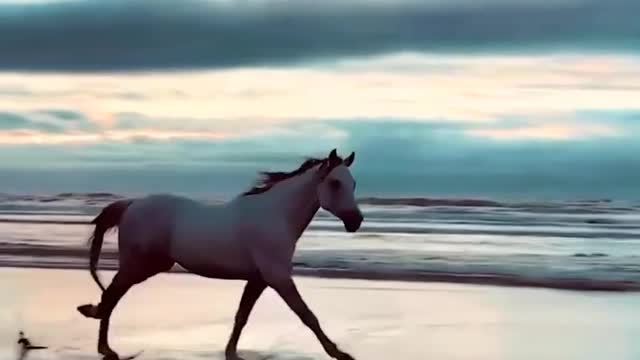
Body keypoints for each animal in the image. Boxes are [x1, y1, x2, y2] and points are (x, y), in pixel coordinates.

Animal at [76, 149, 360, 360]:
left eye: (353, 183)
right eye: (335, 183)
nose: (356, 221)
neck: (275, 216)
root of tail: (132, 204)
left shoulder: (259, 279)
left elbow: (242, 316)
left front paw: (231, 352)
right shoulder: (278, 277)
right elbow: (307, 315)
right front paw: (339, 352)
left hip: (151, 265)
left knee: (111, 295)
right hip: (138, 265)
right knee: (111, 295)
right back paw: (104, 344)